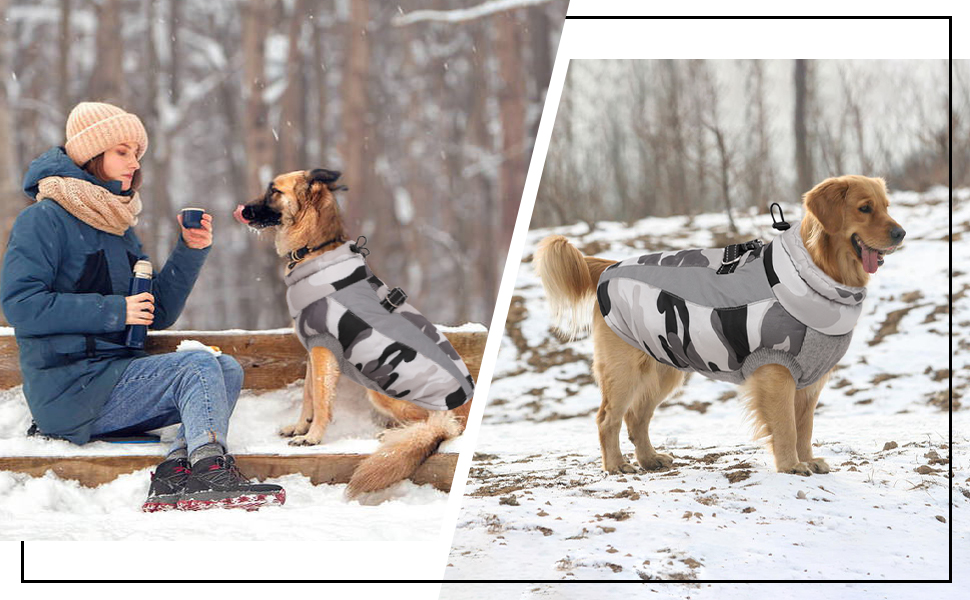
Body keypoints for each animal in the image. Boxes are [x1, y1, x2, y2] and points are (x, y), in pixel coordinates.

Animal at [234, 168, 468, 496]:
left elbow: (321, 400)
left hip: (382, 392)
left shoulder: (322, 350)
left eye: (274, 191)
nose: (242, 210)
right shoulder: (313, 351)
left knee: (436, 425)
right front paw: (300, 427)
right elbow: (308, 395)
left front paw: (313, 437)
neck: (316, 250)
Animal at [532, 176, 904, 476]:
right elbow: (786, 426)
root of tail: (610, 265)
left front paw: (808, 459)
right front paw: (790, 465)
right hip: (625, 370)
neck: (816, 273)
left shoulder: (809, 380)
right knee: (607, 418)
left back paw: (649, 459)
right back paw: (615, 465)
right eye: (865, 208)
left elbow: (805, 427)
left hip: (665, 365)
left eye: (887, 207)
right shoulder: (776, 370)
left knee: (636, 417)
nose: (901, 233)